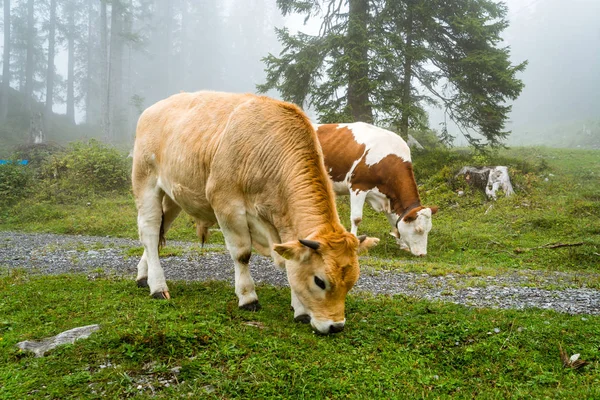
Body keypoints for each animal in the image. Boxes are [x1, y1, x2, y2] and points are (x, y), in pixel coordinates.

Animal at [132, 91, 378, 334]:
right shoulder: (227, 204)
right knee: (150, 231)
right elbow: (242, 254)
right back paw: (158, 286)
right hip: (146, 182)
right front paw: (248, 298)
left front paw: (299, 310)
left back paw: (143, 276)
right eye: (320, 281)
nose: (336, 326)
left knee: (158, 232)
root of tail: (154, 108)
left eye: (352, 282)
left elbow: (290, 261)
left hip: (173, 195)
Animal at [314, 122, 436, 258]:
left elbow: (394, 221)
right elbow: (356, 218)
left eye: (429, 229)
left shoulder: (389, 197)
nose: (422, 254)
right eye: (418, 229)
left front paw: (402, 245)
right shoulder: (358, 187)